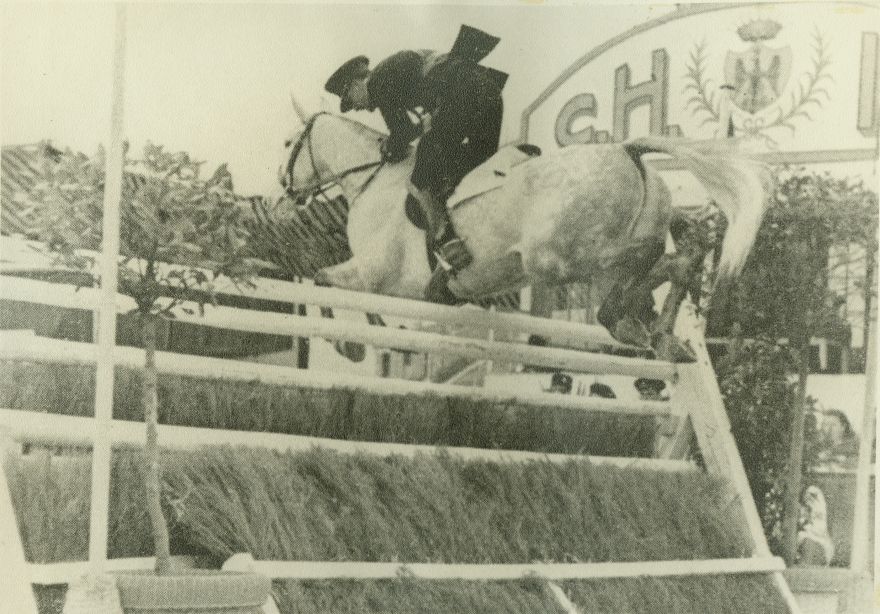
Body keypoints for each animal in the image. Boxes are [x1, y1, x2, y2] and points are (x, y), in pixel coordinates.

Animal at [277, 111, 768, 361]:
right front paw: (371, 334)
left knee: (650, 263)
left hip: (563, 256)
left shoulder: (374, 273)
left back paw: (634, 319)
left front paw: (348, 343)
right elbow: (338, 290)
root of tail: (626, 150)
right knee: (670, 257)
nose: (283, 189)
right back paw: (661, 330)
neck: (373, 178)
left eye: (287, 146)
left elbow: (322, 280)